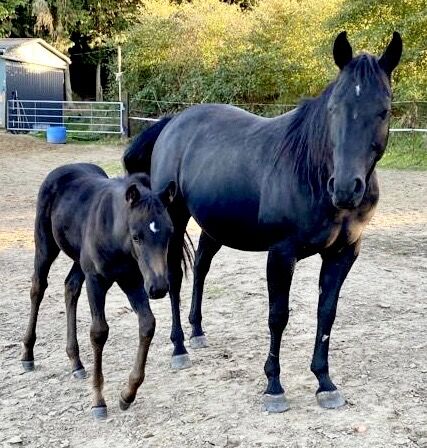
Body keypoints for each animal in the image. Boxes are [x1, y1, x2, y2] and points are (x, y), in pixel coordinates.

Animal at [20, 163, 178, 418]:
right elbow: (99, 332)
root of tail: (62, 170)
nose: (159, 287)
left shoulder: (132, 281)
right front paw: (98, 400)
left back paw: (76, 362)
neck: (115, 232)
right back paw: (27, 355)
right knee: (38, 287)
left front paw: (127, 394)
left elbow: (147, 324)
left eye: (170, 233)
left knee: (70, 287)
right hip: (45, 244)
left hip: (79, 260)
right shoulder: (96, 280)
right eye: (137, 236)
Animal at [124, 30, 404, 410]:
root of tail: (172, 123)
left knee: (202, 267)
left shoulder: (343, 253)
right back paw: (180, 346)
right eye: (334, 109)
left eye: (383, 110)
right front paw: (274, 386)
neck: (312, 171)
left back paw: (197, 332)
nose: (346, 188)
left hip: (215, 227)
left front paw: (325, 382)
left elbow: (326, 313)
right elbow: (278, 315)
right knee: (176, 277)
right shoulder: (281, 254)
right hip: (175, 220)